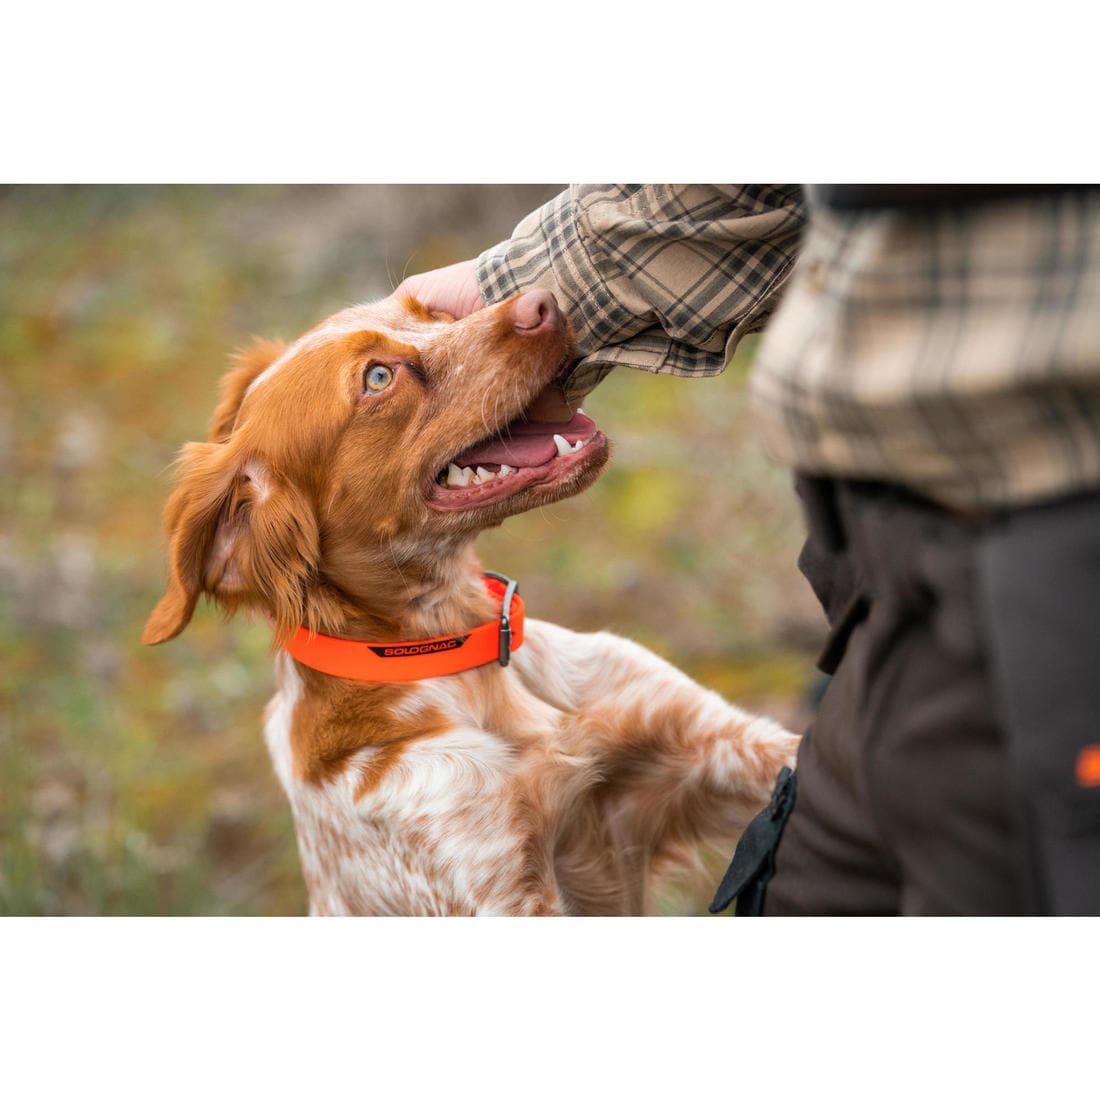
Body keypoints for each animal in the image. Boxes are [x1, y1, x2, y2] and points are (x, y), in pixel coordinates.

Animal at [146, 288, 800, 915]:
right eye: (376, 378)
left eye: (429, 311)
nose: (544, 301)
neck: (465, 658)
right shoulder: (504, 889)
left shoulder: (718, 744)